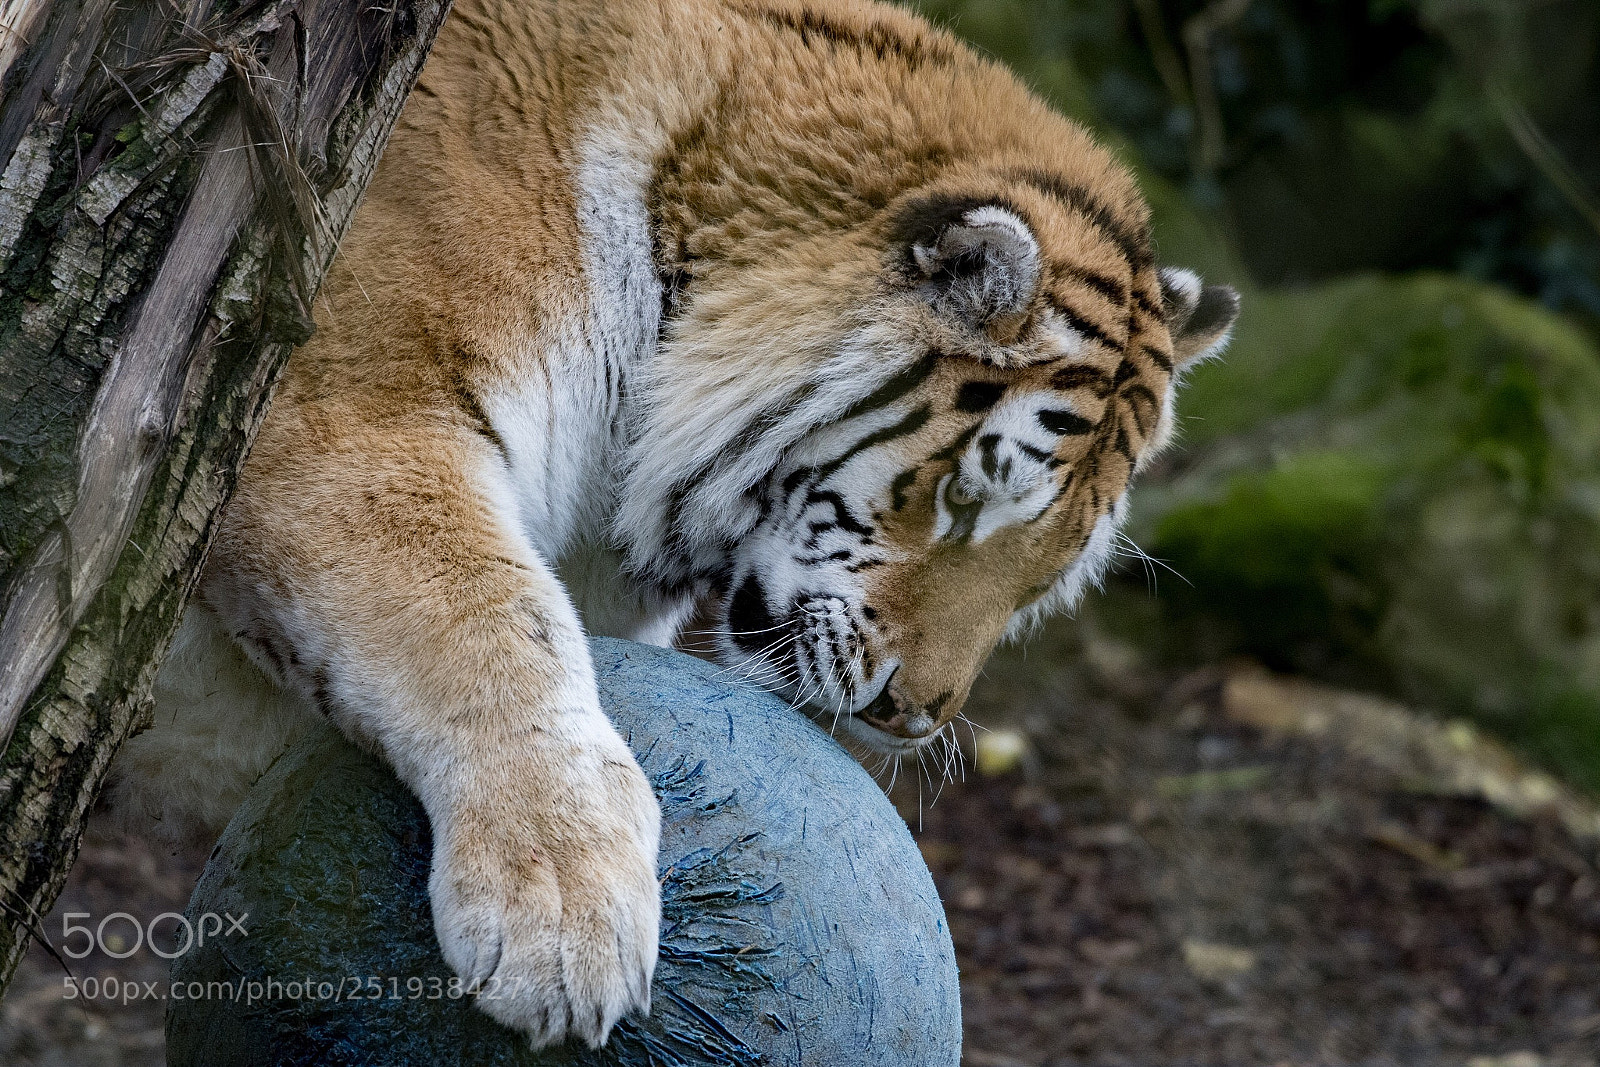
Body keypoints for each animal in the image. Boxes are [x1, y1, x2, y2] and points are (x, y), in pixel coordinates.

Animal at [106, 0, 1237, 1049]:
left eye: (1044, 577)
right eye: (965, 498)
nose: (913, 716)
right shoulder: (336, 414)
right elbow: (488, 626)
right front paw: (565, 910)